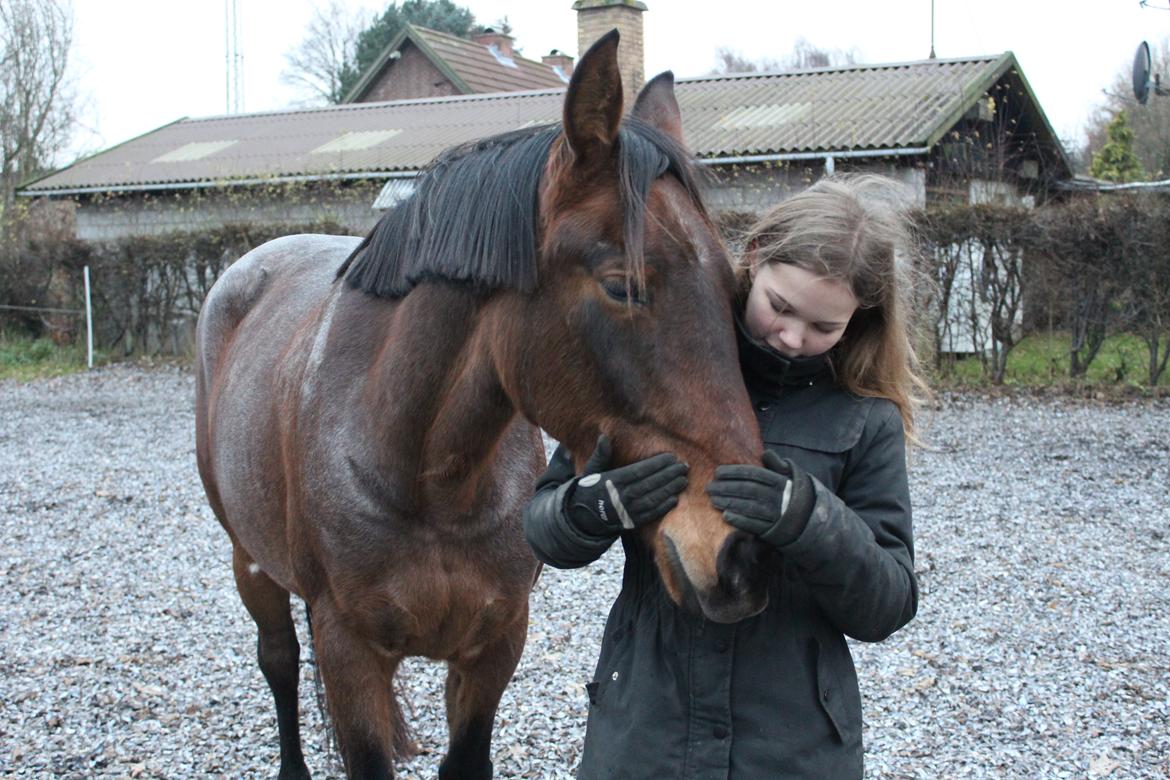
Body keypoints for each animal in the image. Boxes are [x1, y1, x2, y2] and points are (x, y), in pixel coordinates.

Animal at [195, 32, 767, 780]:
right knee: (280, 662)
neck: (426, 474)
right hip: (251, 563)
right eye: (623, 285)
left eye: (733, 286)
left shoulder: (497, 640)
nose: (742, 554)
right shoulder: (350, 652)